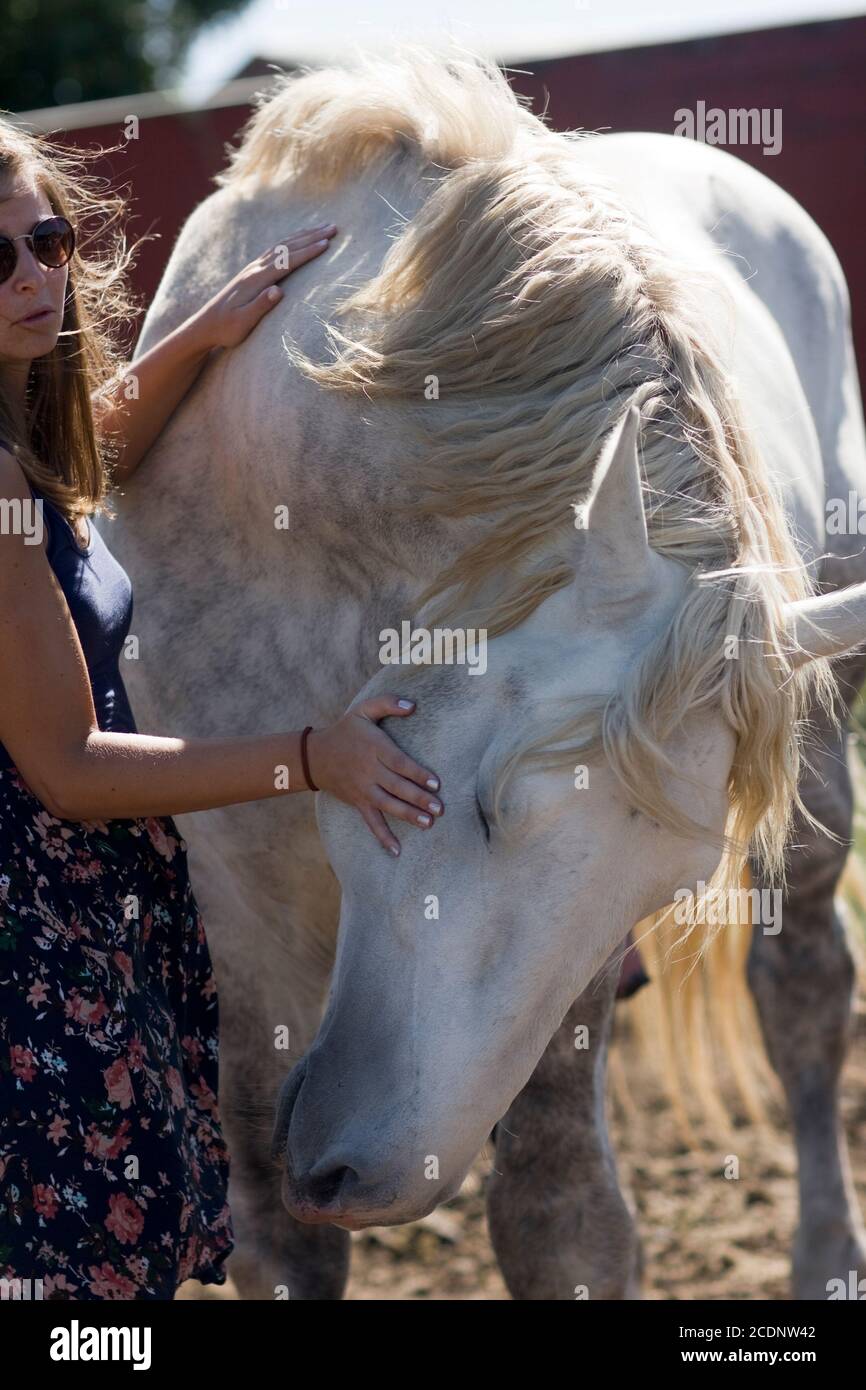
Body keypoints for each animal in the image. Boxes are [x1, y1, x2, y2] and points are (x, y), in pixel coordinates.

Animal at [111, 48, 866, 1295]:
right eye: (483, 802)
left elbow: (558, 1212)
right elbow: (275, 1231)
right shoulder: (226, 881)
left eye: (660, 882)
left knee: (801, 992)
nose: (359, 1169)